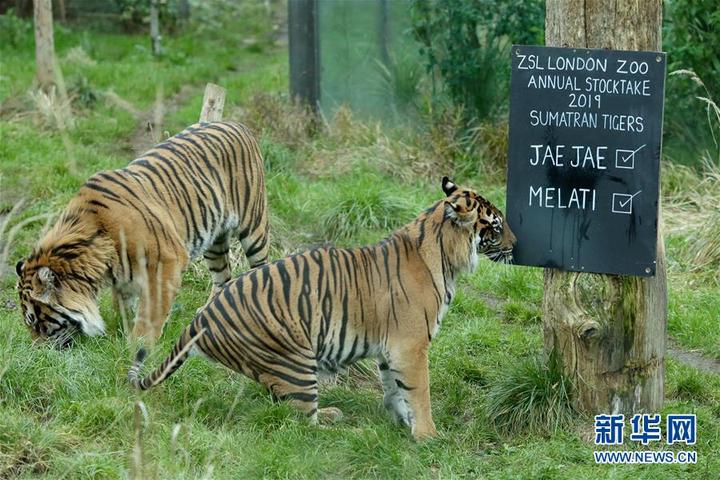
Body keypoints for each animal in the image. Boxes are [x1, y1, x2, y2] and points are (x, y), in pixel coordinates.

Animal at [16, 122, 270, 346]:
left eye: (35, 320)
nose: (38, 352)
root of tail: (236, 124)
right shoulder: (123, 279)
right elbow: (124, 306)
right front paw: (124, 330)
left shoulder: (167, 261)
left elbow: (152, 310)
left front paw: (140, 343)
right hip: (215, 242)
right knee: (222, 276)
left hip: (253, 226)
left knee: (261, 266)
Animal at [128, 178, 512, 440]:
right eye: (495, 226)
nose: (517, 243)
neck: (443, 252)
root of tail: (202, 318)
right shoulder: (411, 346)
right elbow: (419, 392)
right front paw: (428, 436)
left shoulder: (391, 348)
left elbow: (394, 388)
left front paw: (401, 421)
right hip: (295, 359)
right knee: (301, 423)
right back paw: (342, 424)